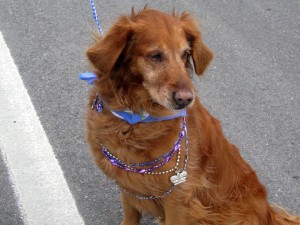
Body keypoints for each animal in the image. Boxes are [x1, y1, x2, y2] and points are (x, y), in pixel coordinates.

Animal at [84, 7, 300, 224]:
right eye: (155, 55)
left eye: (185, 53)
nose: (186, 99)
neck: (137, 118)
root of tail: (269, 213)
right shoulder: (128, 185)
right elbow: (130, 212)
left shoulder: (178, 197)